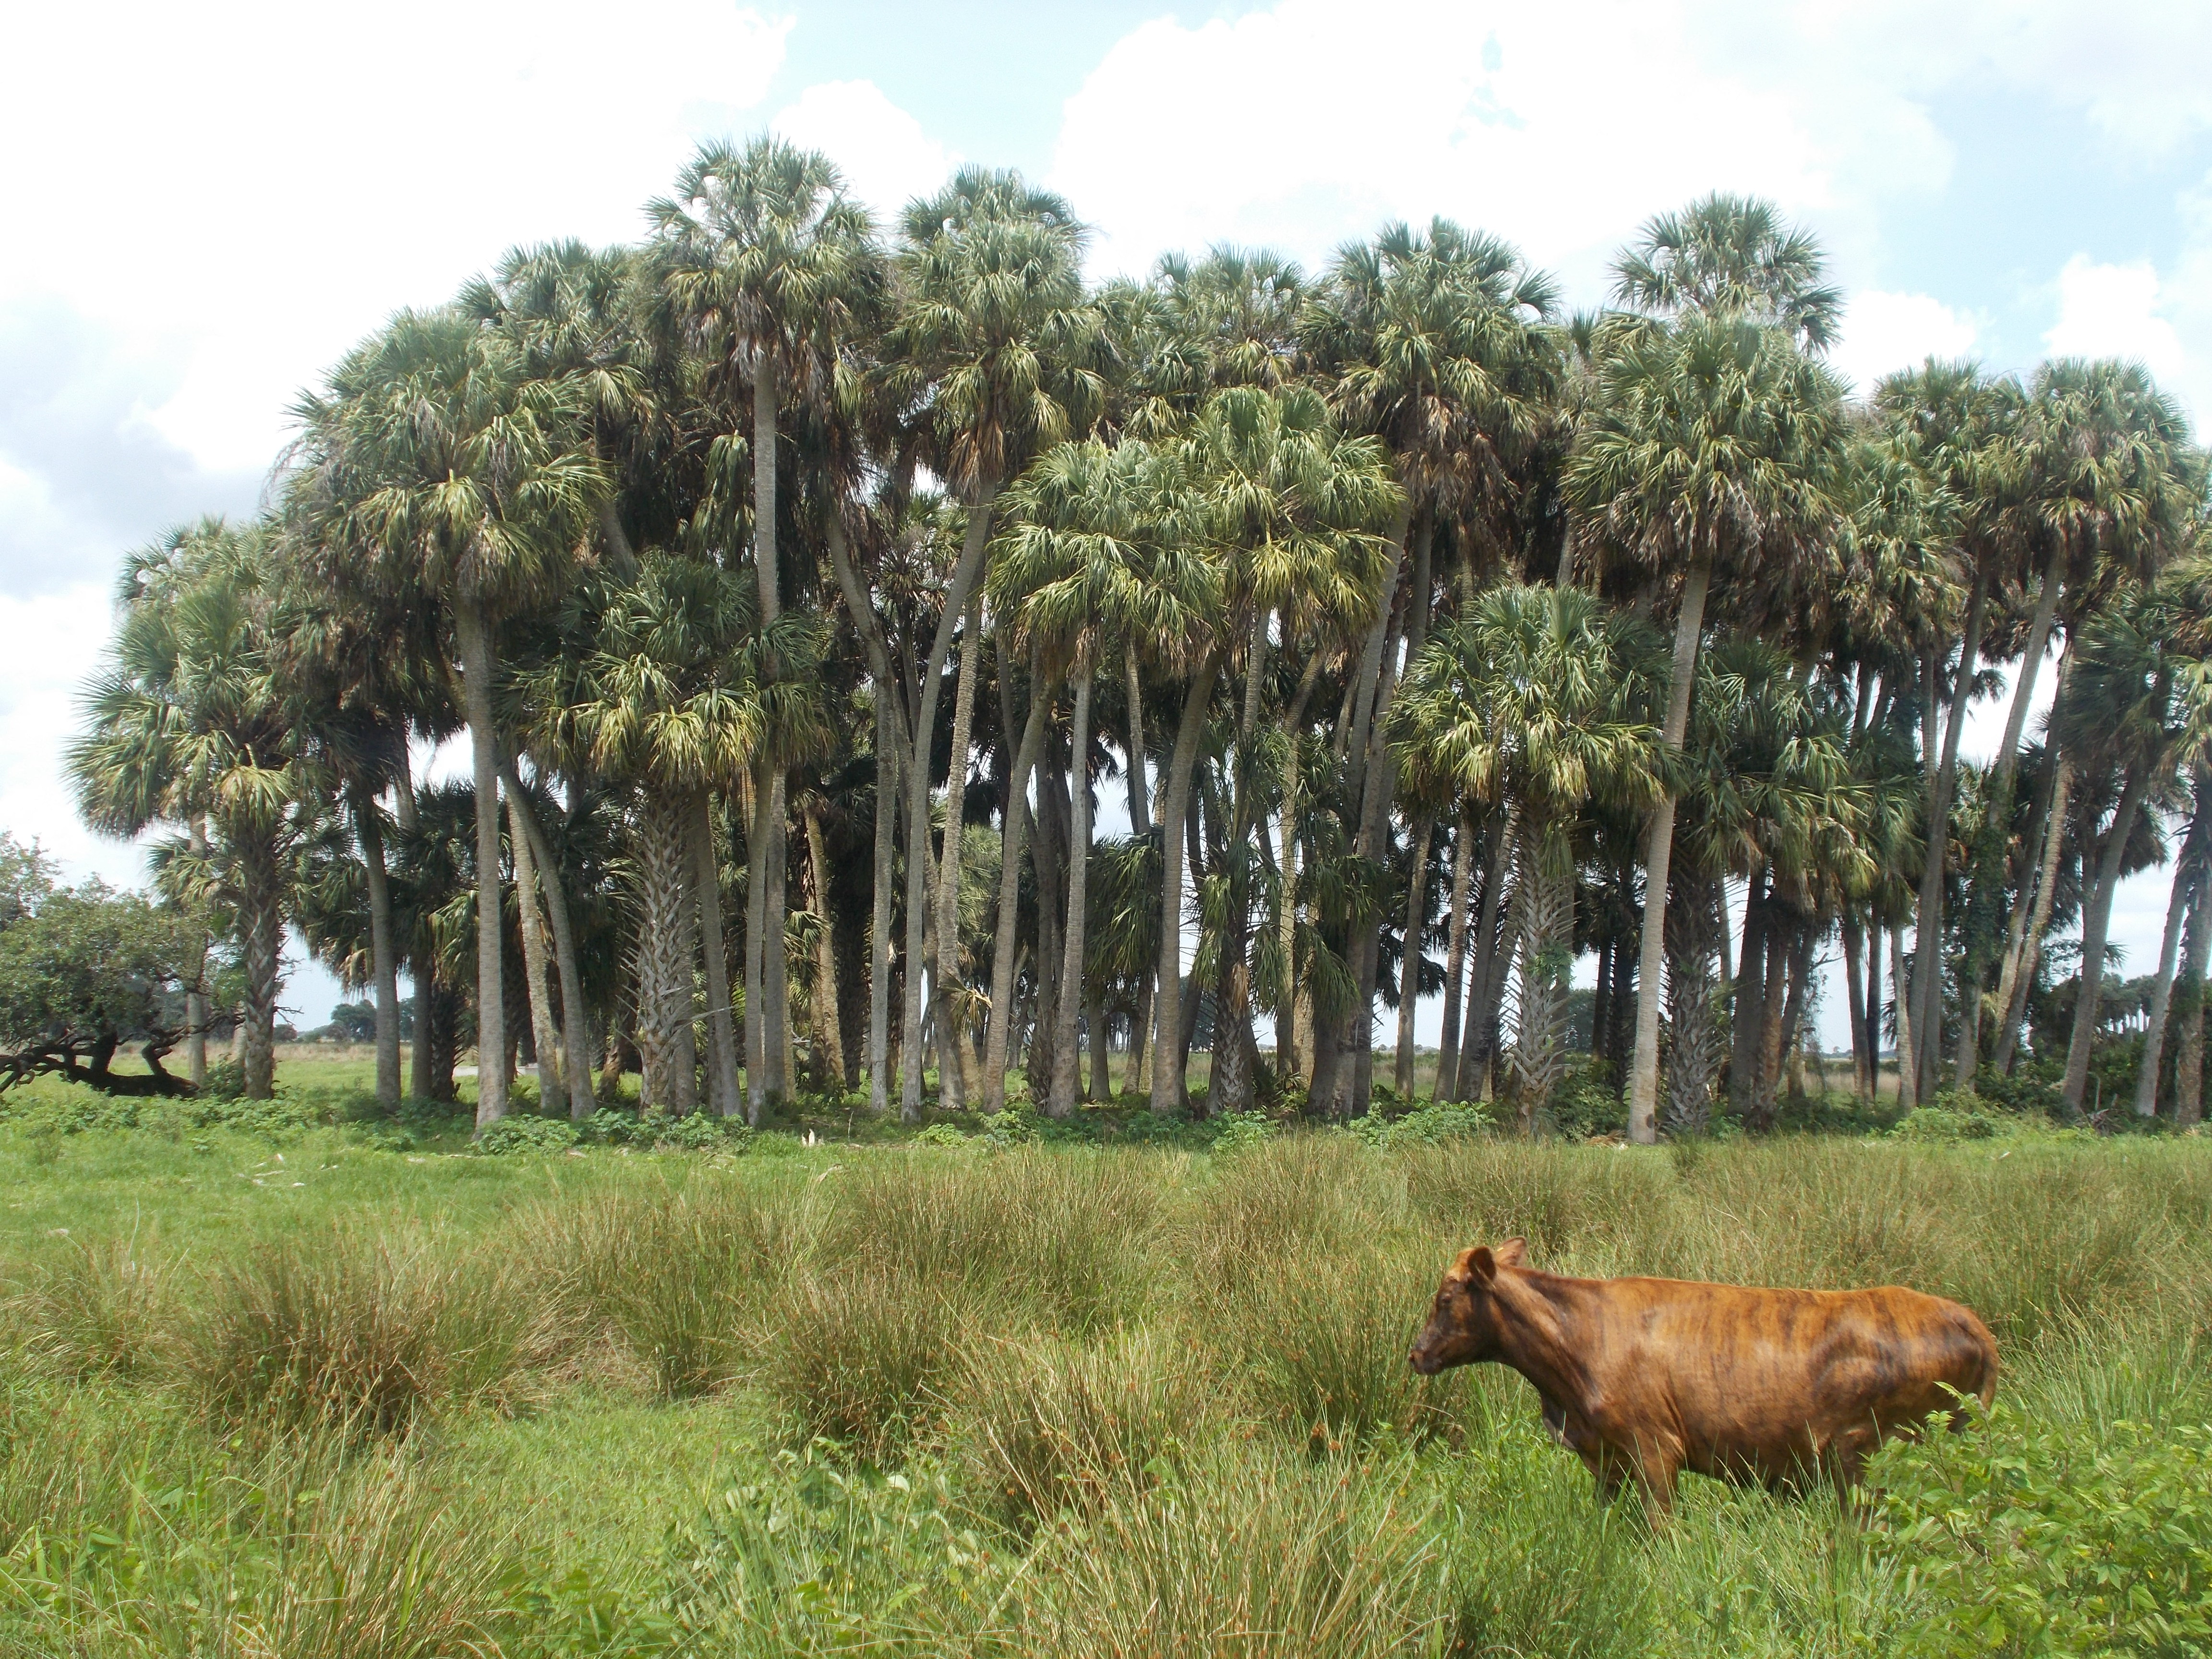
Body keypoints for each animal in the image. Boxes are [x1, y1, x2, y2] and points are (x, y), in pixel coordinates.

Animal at [1407, 1238, 1999, 1522]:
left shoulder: (1654, 1448)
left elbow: (1661, 1529)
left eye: (1445, 1297)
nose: (1415, 1354)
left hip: (1875, 1454)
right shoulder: (1608, 1459)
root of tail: (1964, 1316)